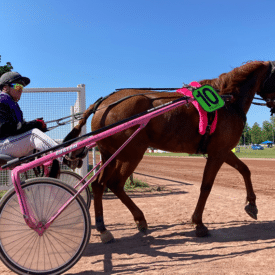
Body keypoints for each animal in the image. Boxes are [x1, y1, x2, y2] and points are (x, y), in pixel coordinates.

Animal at [64, 60, 275, 242]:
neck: (228, 101)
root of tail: (103, 103)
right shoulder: (218, 153)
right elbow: (206, 187)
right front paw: (199, 224)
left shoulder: (223, 150)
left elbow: (245, 170)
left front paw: (252, 204)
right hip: (131, 153)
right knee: (115, 184)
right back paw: (135, 220)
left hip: (111, 155)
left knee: (99, 185)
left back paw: (104, 227)